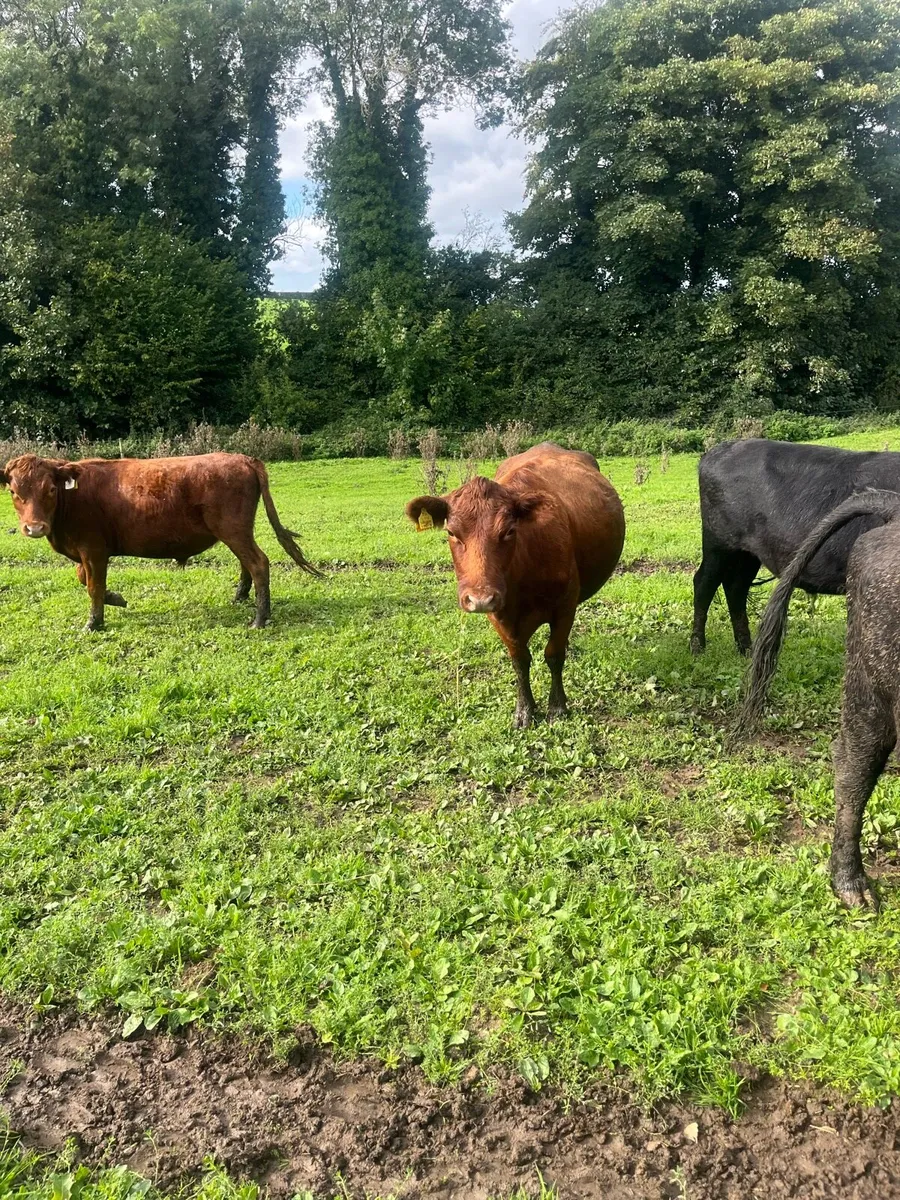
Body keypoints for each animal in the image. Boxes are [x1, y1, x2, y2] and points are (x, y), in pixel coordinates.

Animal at [0, 452, 320, 630]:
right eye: (14, 492)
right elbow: (84, 579)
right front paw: (116, 599)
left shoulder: (93, 549)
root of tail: (242, 458)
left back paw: (259, 619)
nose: (34, 527)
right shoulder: (87, 552)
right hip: (238, 532)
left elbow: (93, 586)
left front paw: (94, 623)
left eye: (51, 489)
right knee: (247, 563)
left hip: (233, 529)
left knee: (258, 563)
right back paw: (240, 597)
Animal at [406, 442, 625, 727]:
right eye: (451, 532)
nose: (479, 598)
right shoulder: (499, 615)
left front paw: (557, 706)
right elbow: (520, 660)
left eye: (509, 530)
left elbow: (554, 654)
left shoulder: (565, 605)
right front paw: (525, 709)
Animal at [692, 438, 900, 655]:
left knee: (736, 587)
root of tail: (716, 451)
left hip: (748, 553)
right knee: (704, 583)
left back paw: (746, 649)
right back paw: (698, 648)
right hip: (717, 542)